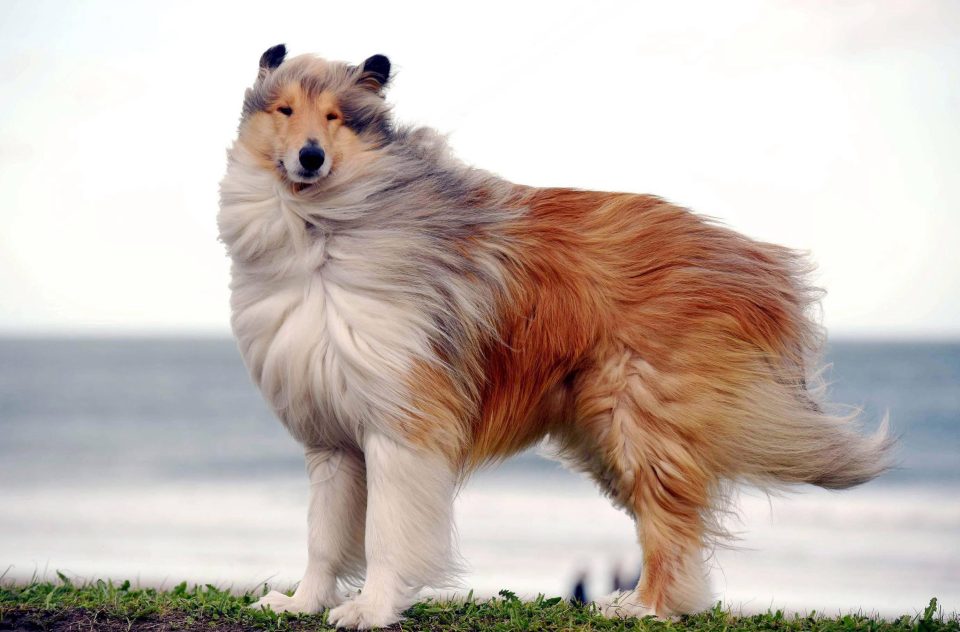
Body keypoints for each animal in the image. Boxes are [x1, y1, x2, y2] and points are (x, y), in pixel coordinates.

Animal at [219, 44, 892, 628]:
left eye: (335, 117)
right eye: (285, 111)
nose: (310, 157)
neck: (324, 231)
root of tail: (754, 259)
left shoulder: (403, 427)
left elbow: (388, 533)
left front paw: (371, 609)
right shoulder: (331, 439)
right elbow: (323, 537)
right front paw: (301, 603)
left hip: (639, 422)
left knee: (670, 528)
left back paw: (646, 608)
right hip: (604, 433)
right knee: (675, 529)